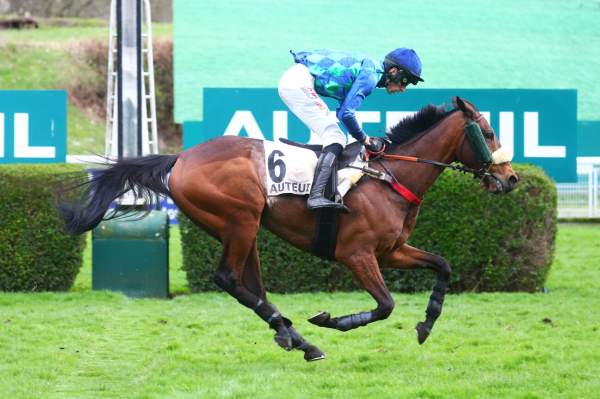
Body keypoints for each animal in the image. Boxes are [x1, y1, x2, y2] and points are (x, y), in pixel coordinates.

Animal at [58, 97, 516, 362]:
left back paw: (294, 337)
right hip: (239, 219)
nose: (510, 179)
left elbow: (443, 265)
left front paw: (426, 324)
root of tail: (180, 159)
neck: (388, 176)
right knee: (228, 278)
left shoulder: (392, 251)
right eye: (489, 132)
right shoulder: (357, 254)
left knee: (252, 285)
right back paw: (299, 336)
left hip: (243, 229)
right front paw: (332, 319)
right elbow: (385, 305)